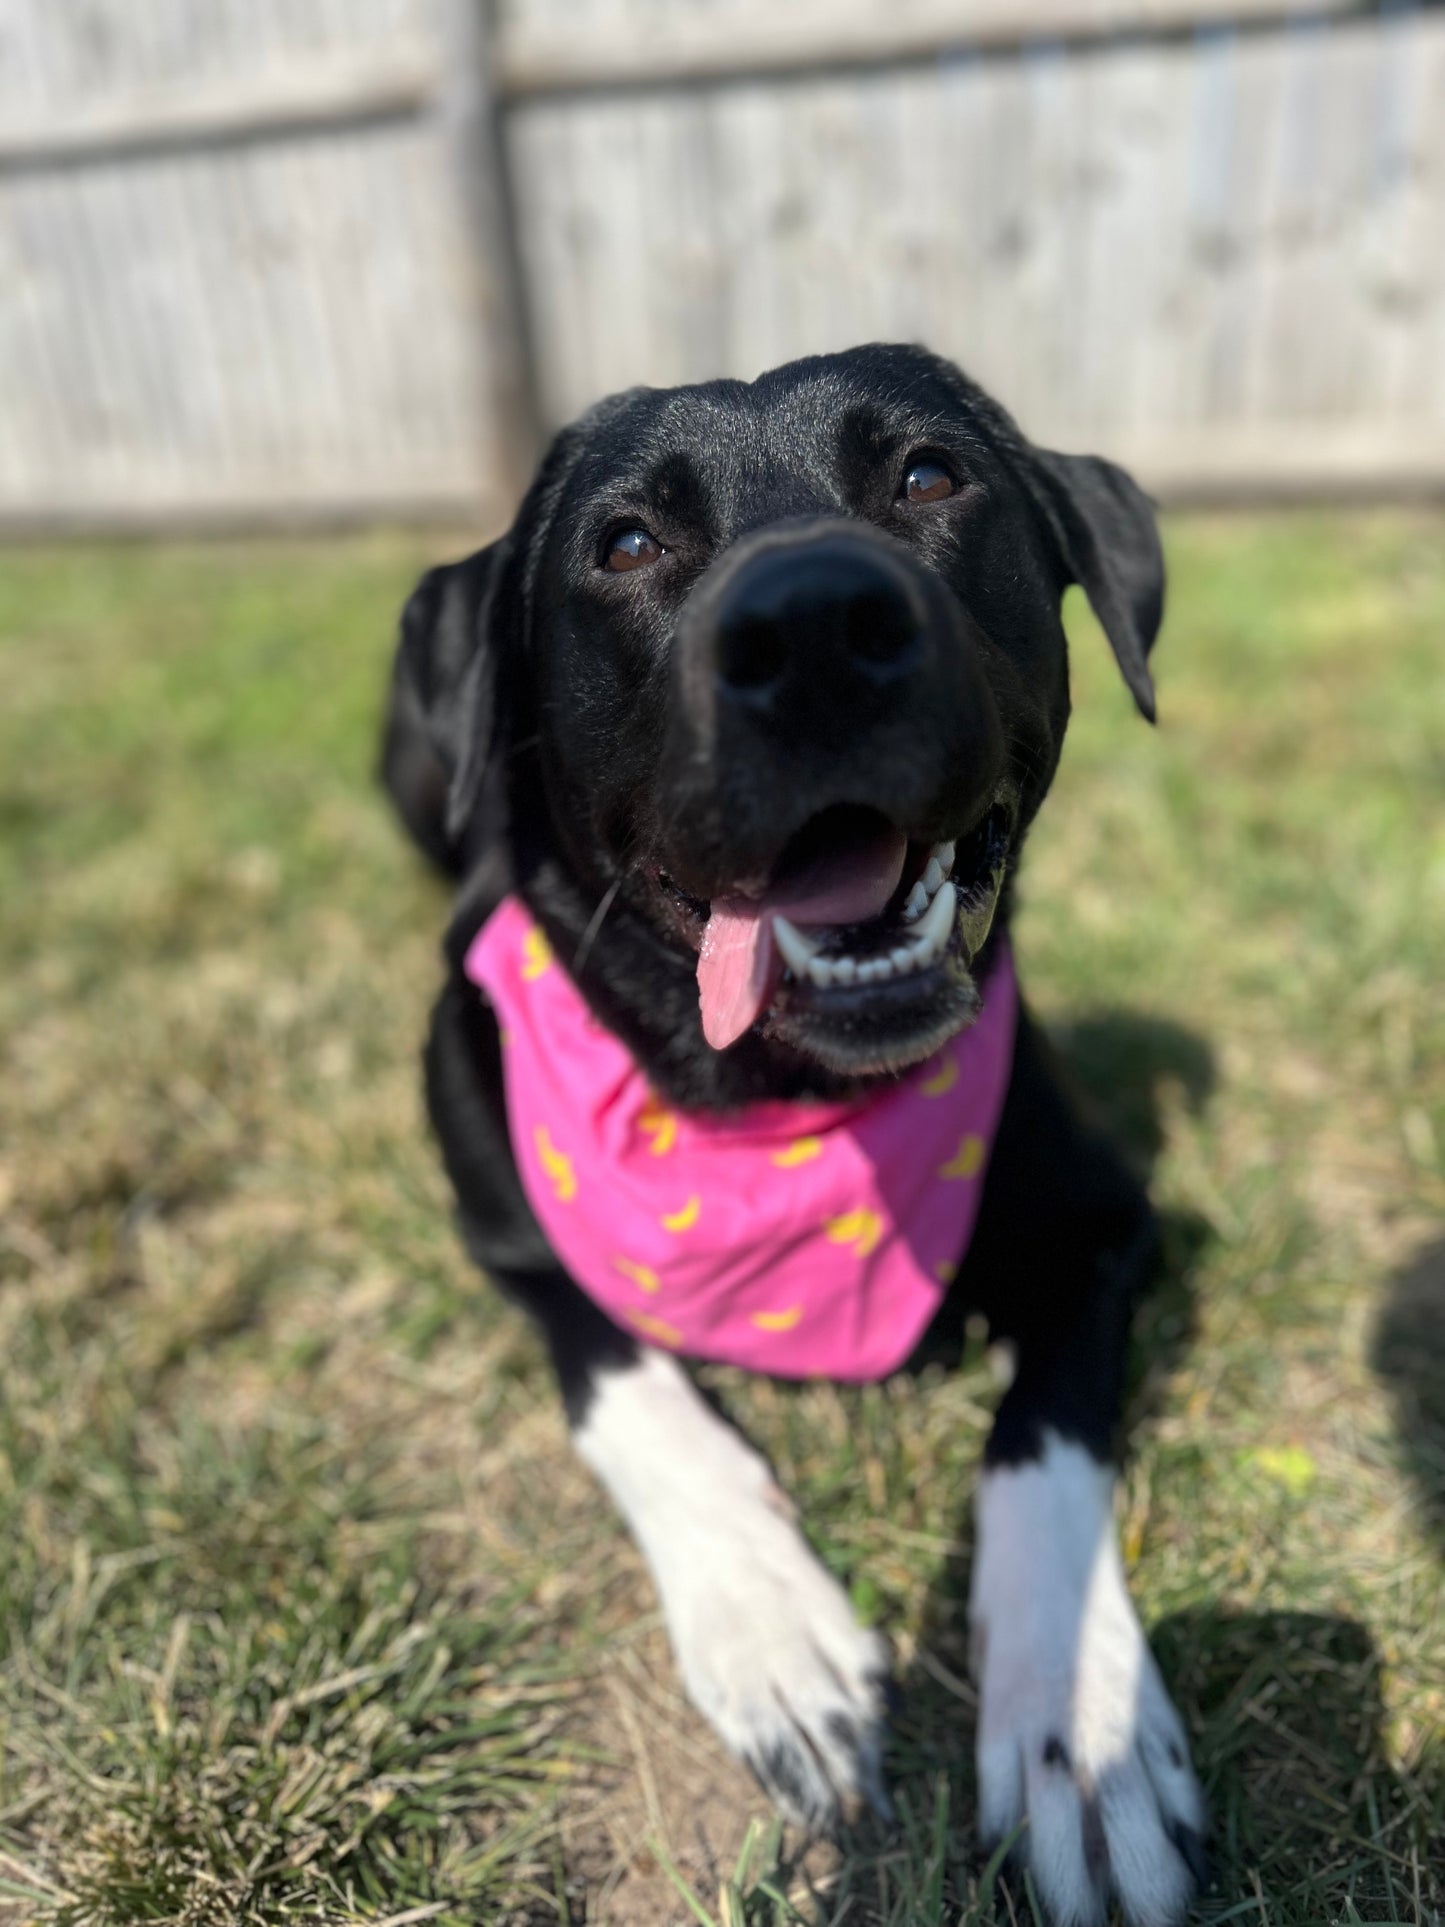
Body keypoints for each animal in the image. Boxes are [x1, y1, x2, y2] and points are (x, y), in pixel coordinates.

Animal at [381, 346, 1209, 1927]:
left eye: (931, 475)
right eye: (624, 543)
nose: (815, 624)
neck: (777, 1105)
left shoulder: (1106, 1225)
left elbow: (1041, 1446)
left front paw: (1079, 1727)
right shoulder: (507, 1227)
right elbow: (629, 1390)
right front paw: (773, 1629)